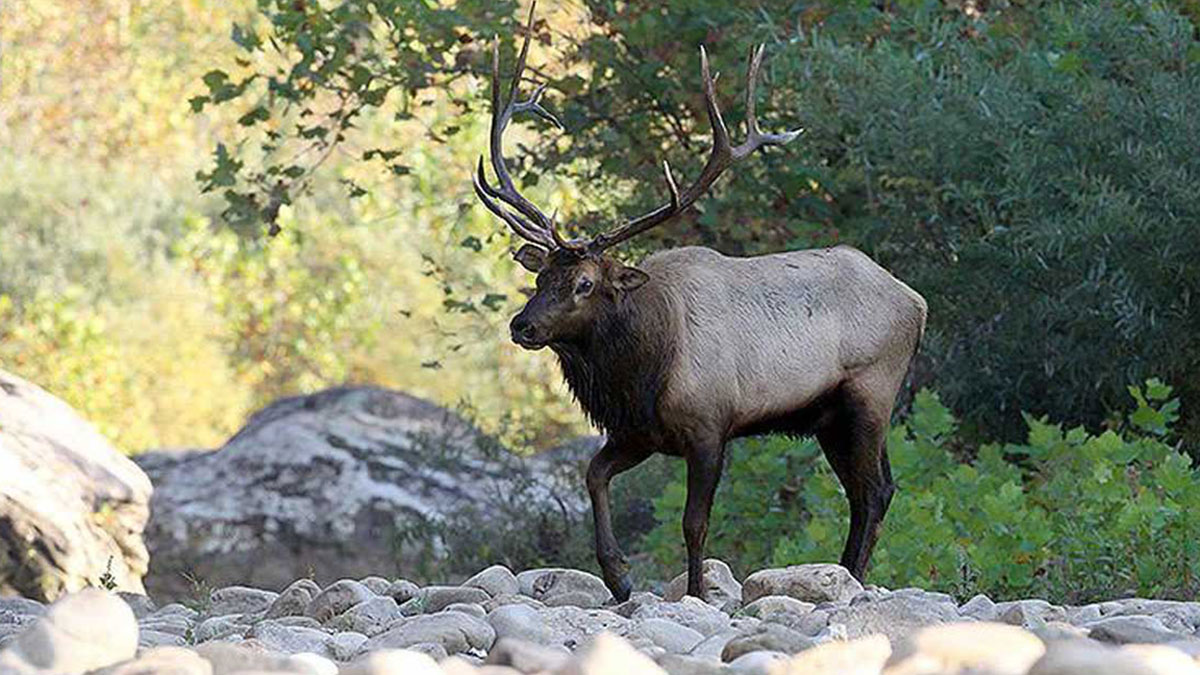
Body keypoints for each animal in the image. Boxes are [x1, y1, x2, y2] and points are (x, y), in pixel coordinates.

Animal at [472, 6, 928, 602]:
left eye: (585, 284)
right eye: (541, 275)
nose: (522, 326)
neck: (642, 369)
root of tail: (918, 303)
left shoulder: (711, 426)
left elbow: (694, 522)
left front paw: (696, 592)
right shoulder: (637, 432)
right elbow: (594, 475)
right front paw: (618, 576)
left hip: (871, 393)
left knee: (873, 492)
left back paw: (851, 576)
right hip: (829, 418)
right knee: (876, 488)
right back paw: (847, 572)